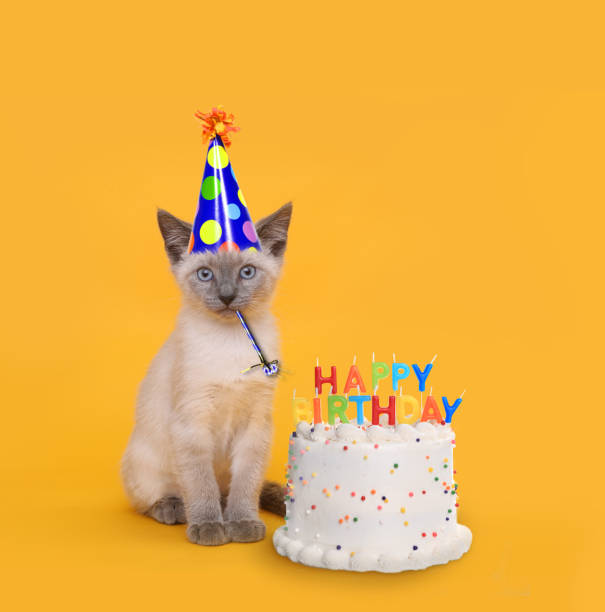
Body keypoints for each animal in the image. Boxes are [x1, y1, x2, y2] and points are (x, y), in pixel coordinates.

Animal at [121, 201, 292, 544]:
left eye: (246, 272)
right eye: (205, 274)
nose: (226, 296)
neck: (230, 341)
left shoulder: (255, 424)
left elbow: (246, 484)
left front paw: (242, 523)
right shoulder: (192, 422)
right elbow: (201, 484)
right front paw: (209, 527)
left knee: (231, 492)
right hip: (144, 462)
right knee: (151, 499)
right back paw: (174, 508)